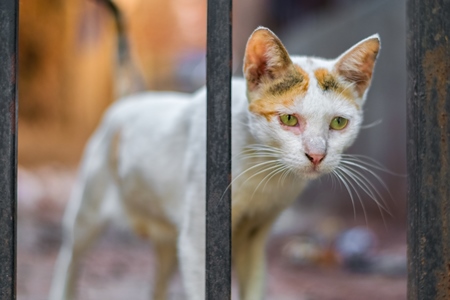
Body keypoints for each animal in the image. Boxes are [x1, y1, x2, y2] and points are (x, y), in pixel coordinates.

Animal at [49, 26, 380, 300]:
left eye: (338, 123)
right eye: (289, 119)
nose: (317, 154)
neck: (264, 175)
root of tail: (131, 100)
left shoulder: (254, 239)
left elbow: (255, 286)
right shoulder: (197, 240)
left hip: (169, 238)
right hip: (87, 212)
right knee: (70, 258)